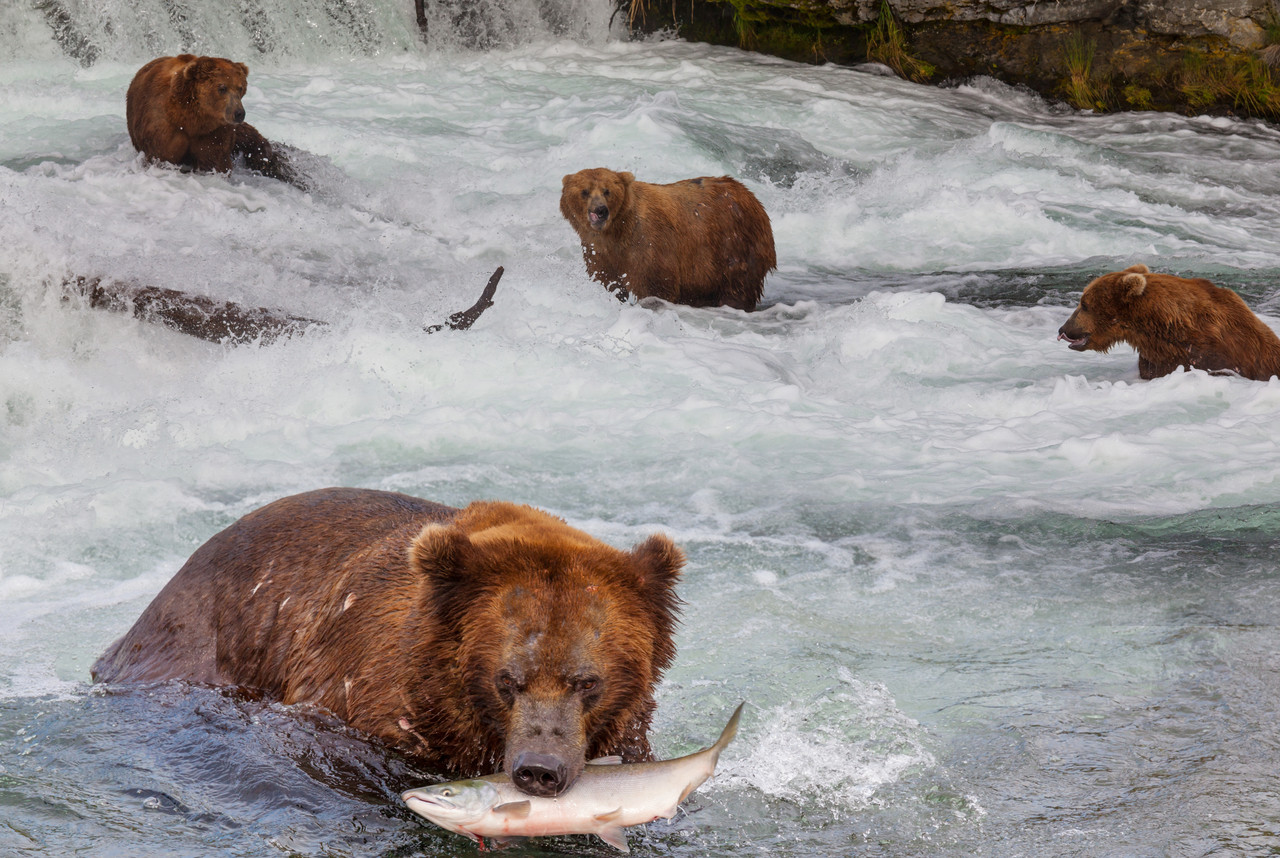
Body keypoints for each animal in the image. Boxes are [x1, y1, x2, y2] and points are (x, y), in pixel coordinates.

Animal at [91, 487, 684, 798]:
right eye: (508, 679)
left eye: (587, 682)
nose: (540, 767)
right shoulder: (363, 704)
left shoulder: (624, 734)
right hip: (200, 640)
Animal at [126, 54, 299, 185]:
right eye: (222, 88)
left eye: (240, 88)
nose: (239, 113)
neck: (190, 118)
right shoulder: (163, 127)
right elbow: (162, 156)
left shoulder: (213, 132)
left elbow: (214, 161)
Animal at [560, 167, 776, 311]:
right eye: (585, 191)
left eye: (607, 191)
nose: (600, 210)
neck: (616, 232)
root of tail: (751, 196)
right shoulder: (598, 251)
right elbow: (607, 281)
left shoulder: (648, 243)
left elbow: (655, 285)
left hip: (735, 247)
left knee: (737, 288)